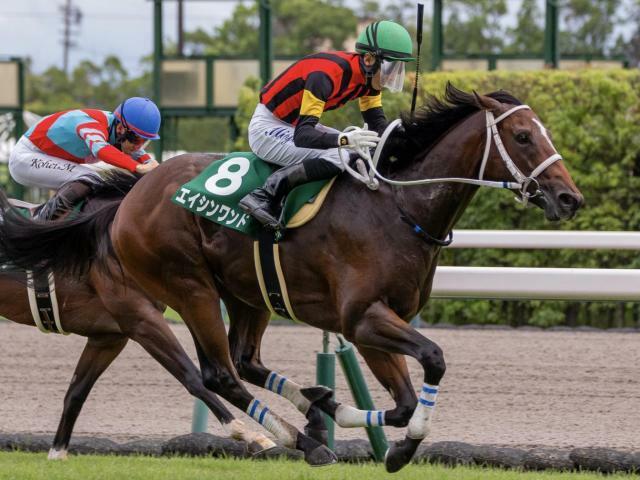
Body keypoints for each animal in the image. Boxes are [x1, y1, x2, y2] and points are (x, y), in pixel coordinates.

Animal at [0, 174, 272, 460]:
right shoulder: (142, 320)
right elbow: (193, 378)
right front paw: (248, 433)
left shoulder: (109, 337)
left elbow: (76, 393)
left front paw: (57, 452)